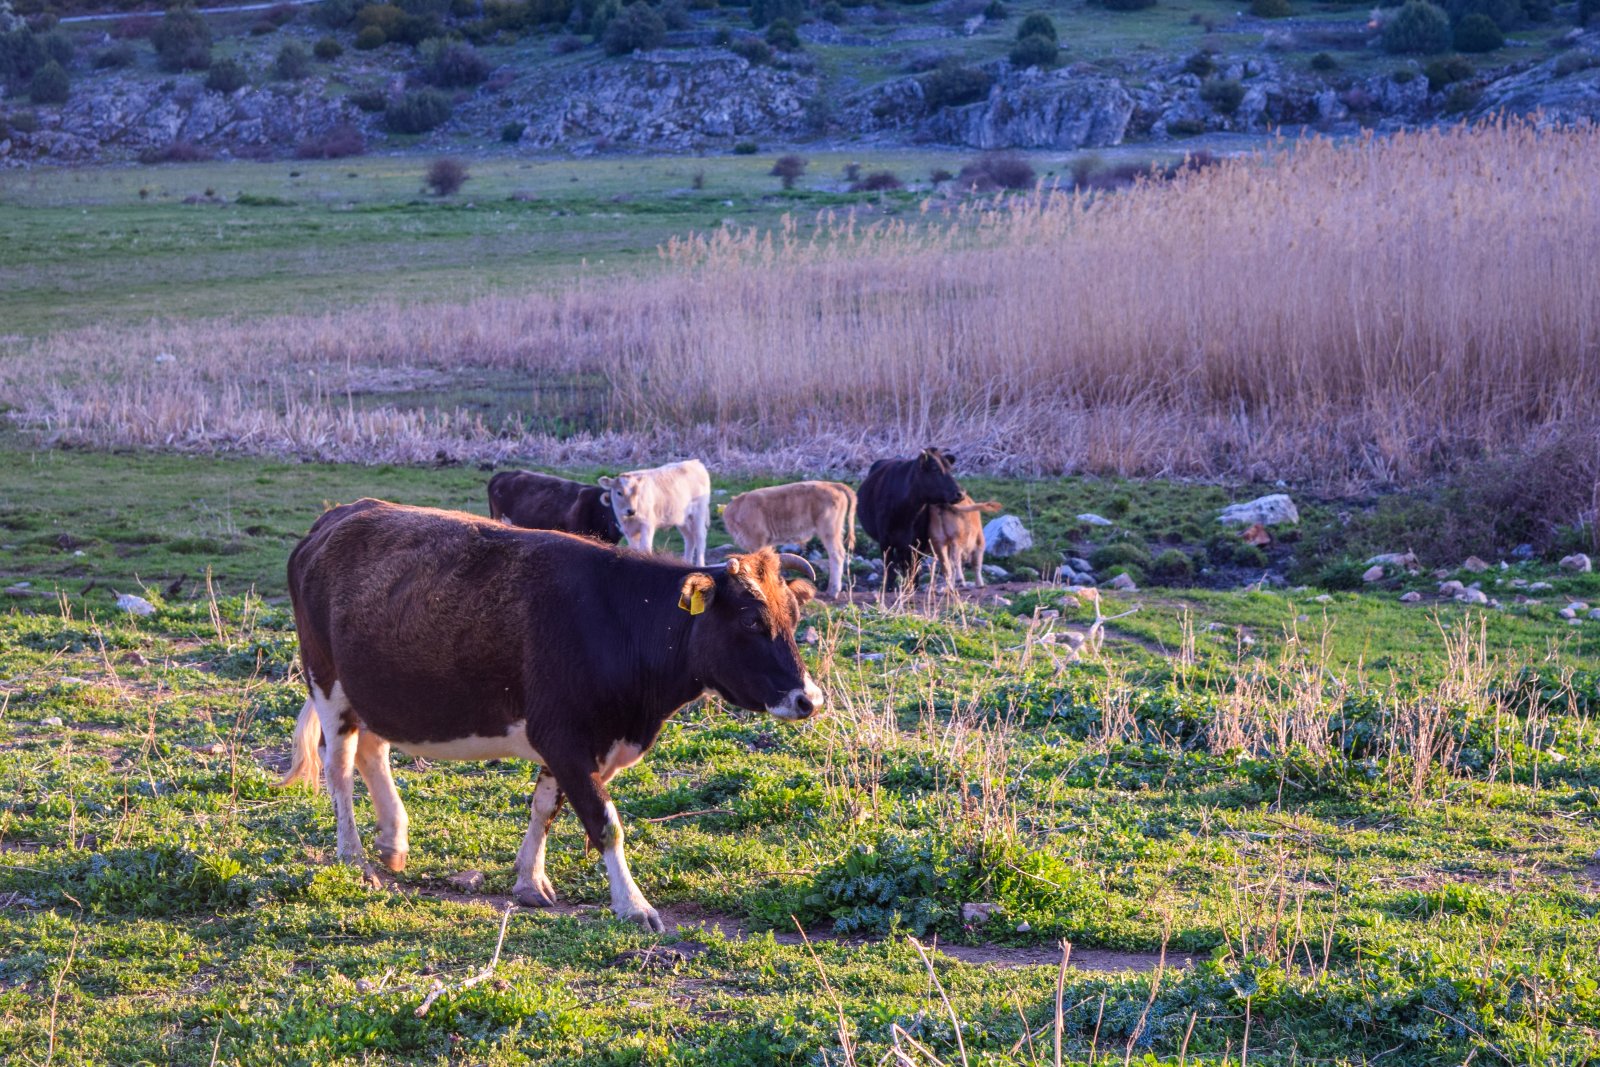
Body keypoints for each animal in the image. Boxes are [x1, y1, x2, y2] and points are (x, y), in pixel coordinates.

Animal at [275, 499, 819, 927]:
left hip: (377, 691)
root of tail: (338, 516)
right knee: (339, 771)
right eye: (751, 621)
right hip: (327, 682)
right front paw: (633, 905)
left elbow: (545, 807)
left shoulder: (568, 743)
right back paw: (354, 858)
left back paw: (393, 841)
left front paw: (529, 881)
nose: (808, 699)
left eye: (794, 617)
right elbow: (605, 822)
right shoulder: (564, 737)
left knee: (372, 752)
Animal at [864, 447, 960, 588]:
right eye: (935, 469)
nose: (960, 493)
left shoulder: (918, 540)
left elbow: (914, 565)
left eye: (950, 469)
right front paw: (888, 586)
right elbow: (889, 565)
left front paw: (913, 585)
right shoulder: (885, 540)